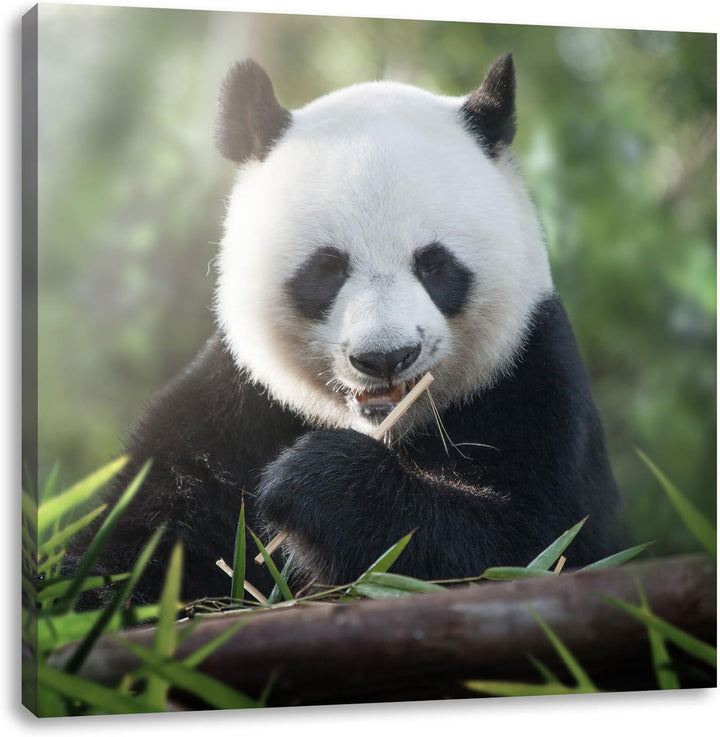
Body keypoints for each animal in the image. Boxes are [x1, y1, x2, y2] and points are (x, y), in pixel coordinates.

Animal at [83, 54, 622, 604]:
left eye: (434, 264)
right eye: (327, 268)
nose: (386, 357)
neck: (386, 427)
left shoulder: (530, 380)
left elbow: (532, 544)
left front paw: (314, 481)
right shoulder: (237, 404)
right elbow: (142, 530)